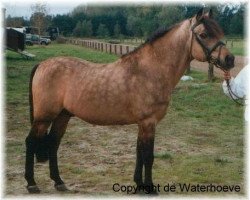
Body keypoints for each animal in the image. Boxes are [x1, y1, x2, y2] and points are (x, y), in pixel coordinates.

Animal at [23, 8, 234, 195]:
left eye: (220, 32)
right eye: (204, 34)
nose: (230, 59)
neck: (149, 70)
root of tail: (42, 64)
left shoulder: (143, 123)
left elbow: (139, 152)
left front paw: (139, 184)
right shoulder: (149, 122)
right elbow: (148, 156)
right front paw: (150, 188)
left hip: (62, 116)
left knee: (53, 143)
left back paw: (59, 182)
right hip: (44, 117)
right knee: (31, 142)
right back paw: (32, 184)